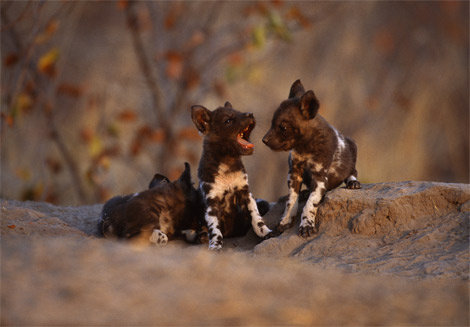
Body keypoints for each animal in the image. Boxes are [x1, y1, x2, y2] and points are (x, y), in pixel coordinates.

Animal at [264, 79, 360, 238]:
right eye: (272, 123)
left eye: (283, 127)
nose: (264, 140)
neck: (305, 148)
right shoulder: (294, 174)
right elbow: (291, 201)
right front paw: (285, 221)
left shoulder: (319, 178)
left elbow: (310, 204)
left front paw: (306, 225)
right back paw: (304, 192)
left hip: (352, 145)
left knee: (353, 171)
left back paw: (353, 182)